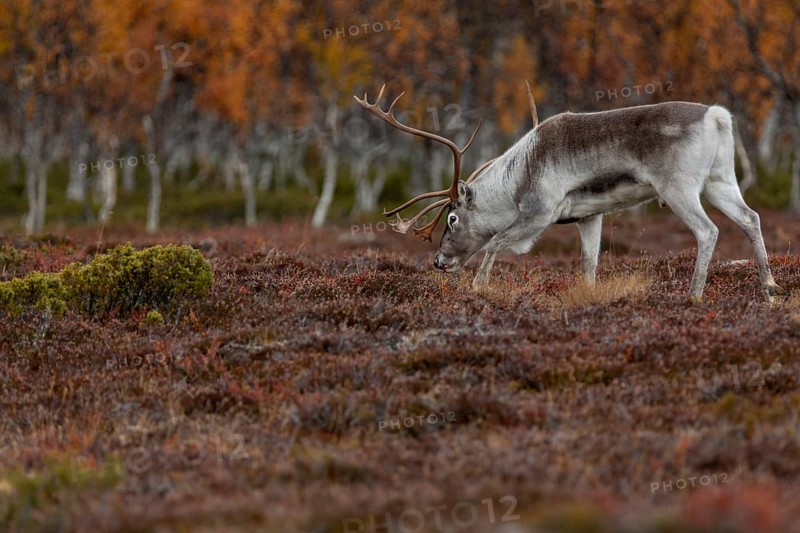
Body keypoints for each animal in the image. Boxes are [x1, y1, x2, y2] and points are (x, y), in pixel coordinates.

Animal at [353, 83, 782, 303]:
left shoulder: (538, 213)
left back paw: (693, 295)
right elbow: (588, 263)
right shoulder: (590, 216)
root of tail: (715, 116)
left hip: (679, 188)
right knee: (751, 218)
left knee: (708, 231)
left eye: (453, 218)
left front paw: (478, 288)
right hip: (720, 181)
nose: (439, 261)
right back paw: (770, 286)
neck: (516, 177)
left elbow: (494, 243)